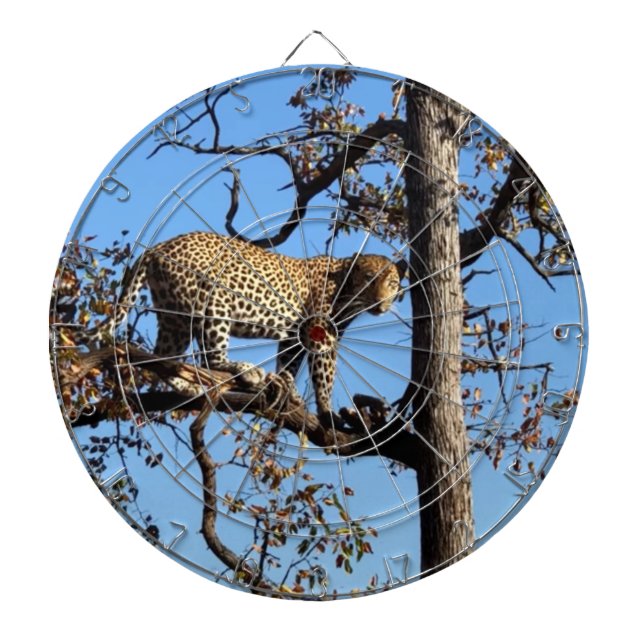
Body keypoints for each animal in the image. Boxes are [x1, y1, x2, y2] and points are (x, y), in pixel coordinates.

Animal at [110, 231, 404, 426]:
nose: (382, 304)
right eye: (370, 279)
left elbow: (289, 364)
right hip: (213, 301)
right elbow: (325, 375)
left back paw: (188, 386)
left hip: (175, 316)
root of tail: (158, 247)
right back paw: (245, 371)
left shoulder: (295, 335)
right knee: (210, 358)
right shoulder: (321, 333)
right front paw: (326, 411)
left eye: (392, 283)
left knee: (163, 356)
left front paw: (291, 393)